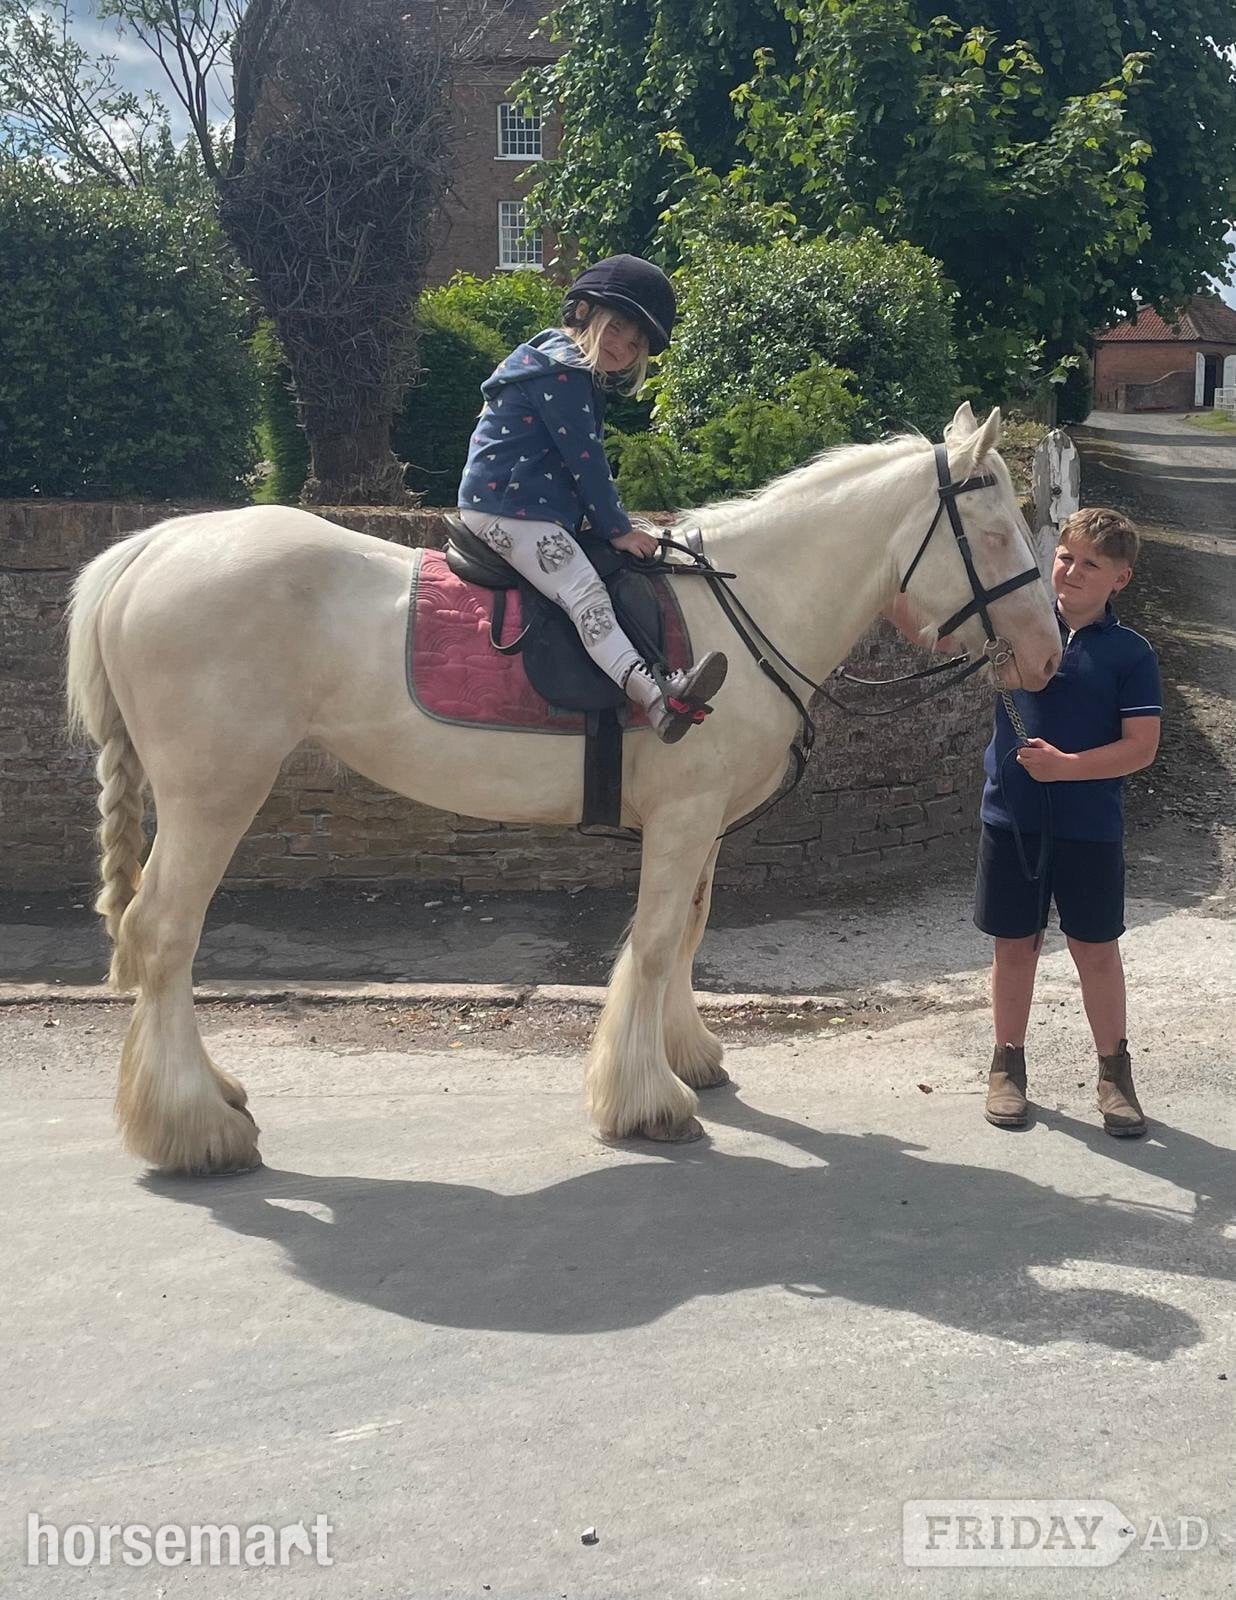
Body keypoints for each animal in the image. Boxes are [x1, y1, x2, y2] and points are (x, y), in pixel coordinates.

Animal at [65, 402, 1061, 1175]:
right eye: (997, 533)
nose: (1048, 653)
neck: (750, 611)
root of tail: (151, 550)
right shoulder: (683, 818)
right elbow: (654, 945)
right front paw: (645, 1098)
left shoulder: (702, 824)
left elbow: (686, 932)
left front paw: (687, 1056)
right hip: (212, 797)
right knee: (164, 936)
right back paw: (193, 1127)